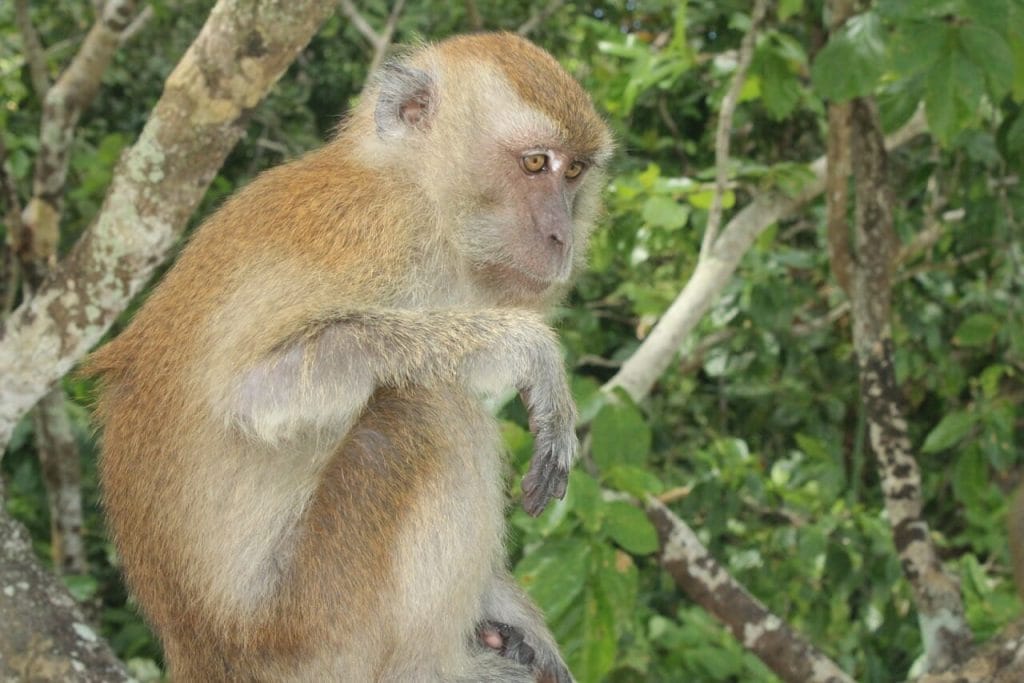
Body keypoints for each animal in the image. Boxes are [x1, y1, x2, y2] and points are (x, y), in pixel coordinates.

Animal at [86, 33, 606, 683]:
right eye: (536, 164)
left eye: (575, 171)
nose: (562, 235)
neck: (417, 189)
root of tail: (204, 655)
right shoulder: (383, 230)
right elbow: (256, 391)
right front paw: (527, 349)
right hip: (315, 629)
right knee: (425, 410)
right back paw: (433, 666)